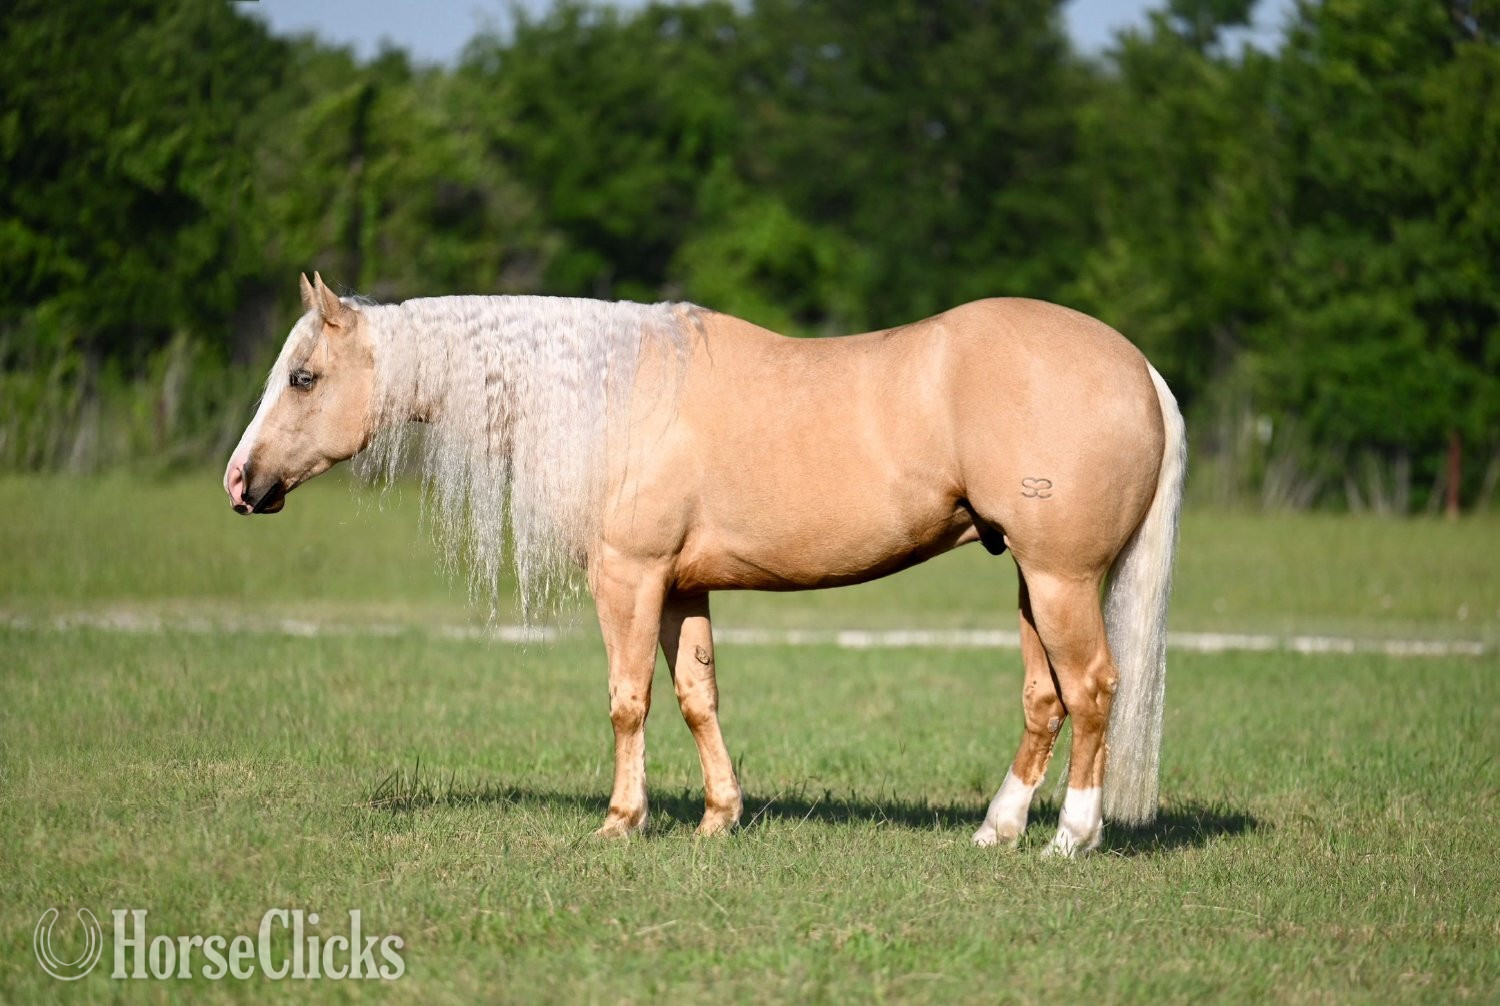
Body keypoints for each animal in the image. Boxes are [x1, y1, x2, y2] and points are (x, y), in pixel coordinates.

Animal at [225, 273, 1185, 857]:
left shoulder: (629, 577)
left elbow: (628, 701)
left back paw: (1071, 837)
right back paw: (998, 829)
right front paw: (721, 818)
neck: (611, 397)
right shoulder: (682, 587)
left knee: (1092, 689)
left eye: (304, 377)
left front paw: (622, 821)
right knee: (1044, 698)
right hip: (1029, 582)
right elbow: (696, 696)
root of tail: (1138, 366)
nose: (240, 481)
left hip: (1061, 582)